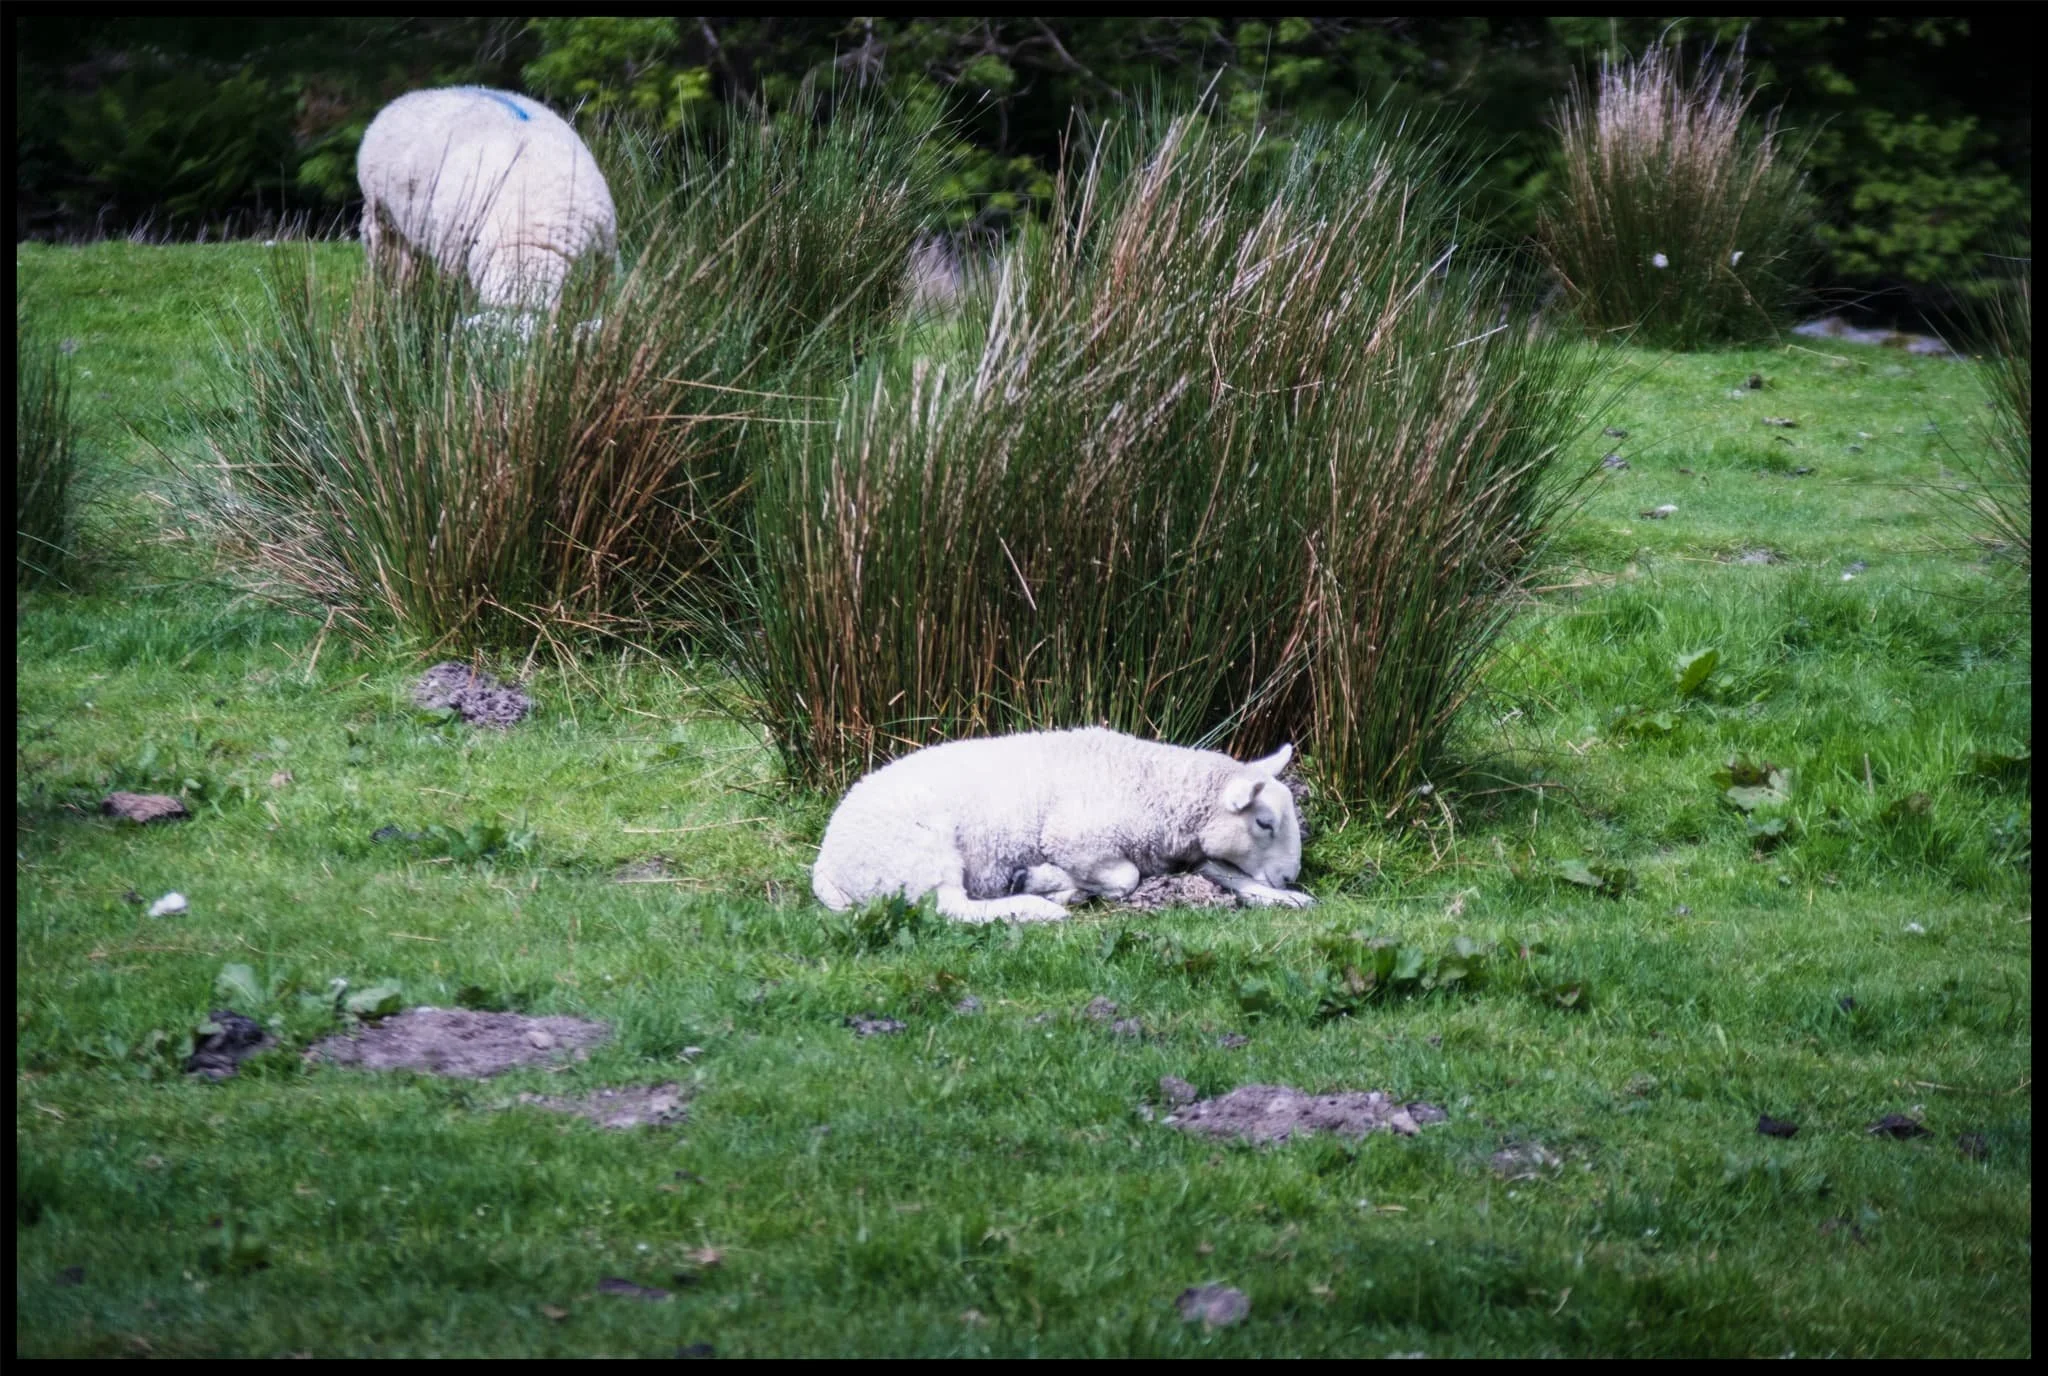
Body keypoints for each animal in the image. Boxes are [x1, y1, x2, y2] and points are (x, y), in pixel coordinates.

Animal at [812, 727, 1313, 924]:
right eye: (1264, 823)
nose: (1291, 874)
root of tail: (826, 865)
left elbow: (1226, 873)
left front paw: (1285, 897)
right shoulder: (1077, 839)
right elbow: (1126, 878)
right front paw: (1046, 881)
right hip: (922, 849)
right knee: (949, 907)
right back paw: (1037, 907)